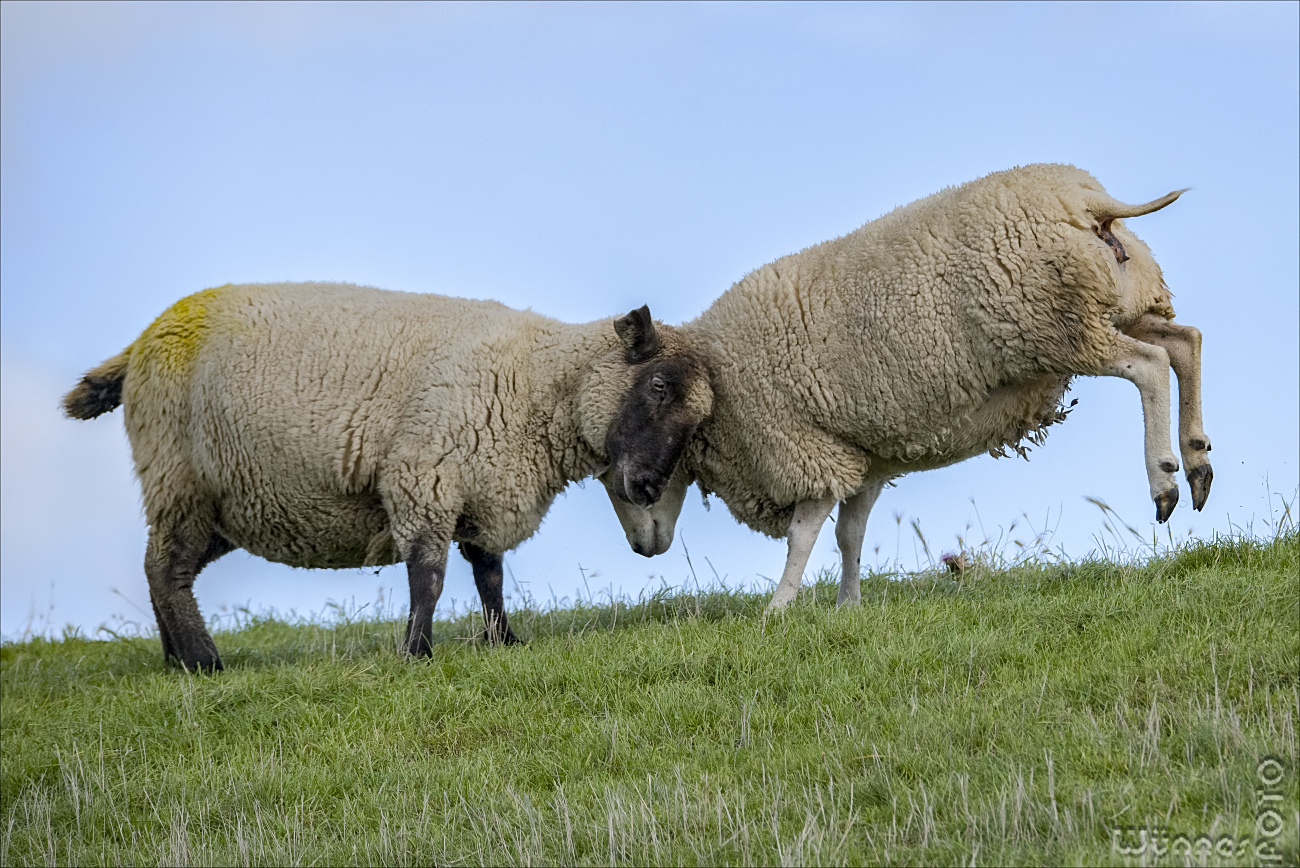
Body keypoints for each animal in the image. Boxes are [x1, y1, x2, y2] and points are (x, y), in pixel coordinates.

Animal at [63, 281, 712, 670]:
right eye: (658, 385)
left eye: (701, 421)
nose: (648, 488)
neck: (538, 383)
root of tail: (142, 342)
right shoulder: (423, 476)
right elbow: (429, 576)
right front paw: (415, 652)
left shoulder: (480, 491)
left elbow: (489, 575)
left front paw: (502, 641)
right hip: (178, 478)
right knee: (166, 569)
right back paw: (204, 662)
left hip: (222, 504)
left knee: (162, 569)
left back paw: (175, 660)